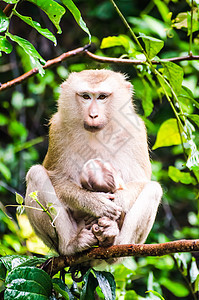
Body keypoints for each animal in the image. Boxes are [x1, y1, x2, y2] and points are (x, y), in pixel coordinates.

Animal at [24, 68, 162, 264]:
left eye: (102, 97)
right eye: (86, 96)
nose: (93, 115)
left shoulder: (135, 130)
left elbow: (141, 180)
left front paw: (116, 201)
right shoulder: (57, 129)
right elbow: (56, 177)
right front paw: (95, 203)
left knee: (153, 189)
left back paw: (113, 240)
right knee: (36, 174)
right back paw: (71, 245)